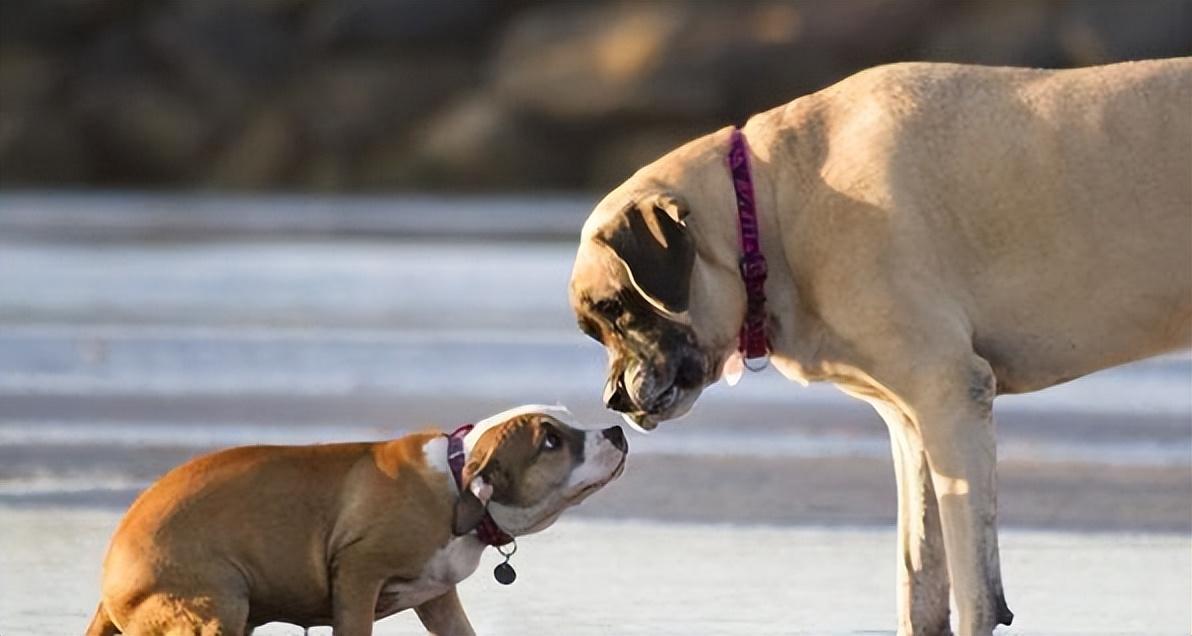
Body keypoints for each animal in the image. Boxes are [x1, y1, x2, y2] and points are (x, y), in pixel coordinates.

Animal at [87, 409, 629, 636]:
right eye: (551, 441)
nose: (617, 430)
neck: (457, 483)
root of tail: (110, 577)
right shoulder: (358, 575)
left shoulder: (439, 601)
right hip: (217, 605)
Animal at [567, 59, 1192, 636]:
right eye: (594, 327)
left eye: (616, 308)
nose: (614, 397)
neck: (770, 211)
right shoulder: (911, 425)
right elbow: (919, 575)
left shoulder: (949, 397)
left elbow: (974, 586)